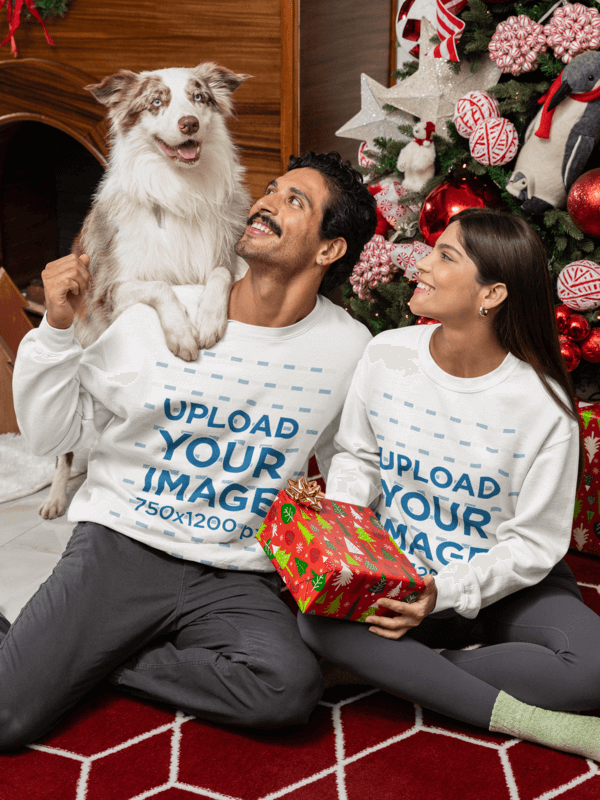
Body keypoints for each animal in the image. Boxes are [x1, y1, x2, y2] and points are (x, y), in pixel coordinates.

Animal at [38, 64, 251, 524]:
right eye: (157, 102)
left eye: (199, 98)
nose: (188, 124)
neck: (178, 190)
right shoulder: (109, 290)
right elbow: (159, 286)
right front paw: (183, 335)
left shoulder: (227, 258)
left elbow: (219, 275)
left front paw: (208, 320)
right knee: (64, 448)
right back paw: (56, 497)